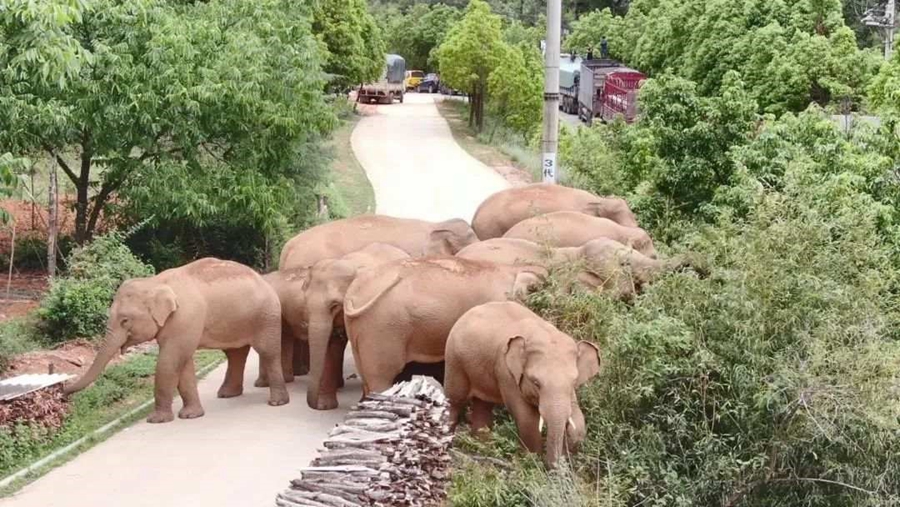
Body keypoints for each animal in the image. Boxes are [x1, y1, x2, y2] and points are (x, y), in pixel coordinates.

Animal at [63, 258, 288, 424]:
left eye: (125, 320)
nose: (63, 392)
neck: (155, 281)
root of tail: (264, 279)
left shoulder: (184, 318)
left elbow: (170, 360)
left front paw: (157, 420)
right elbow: (183, 362)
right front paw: (191, 416)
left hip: (266, 315)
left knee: (267, 352)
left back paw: (277, 403)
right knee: (235, 354)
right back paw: (227, 395)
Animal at [442, 302, 596, 468]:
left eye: (574, 381)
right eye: (536, 382)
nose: (555, 466)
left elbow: (577, 418)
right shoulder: (506, 372)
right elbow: (527, 418)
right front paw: (532, 462)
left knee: (483, 405)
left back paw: (483, 447)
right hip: (454, 360)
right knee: (455, 401)